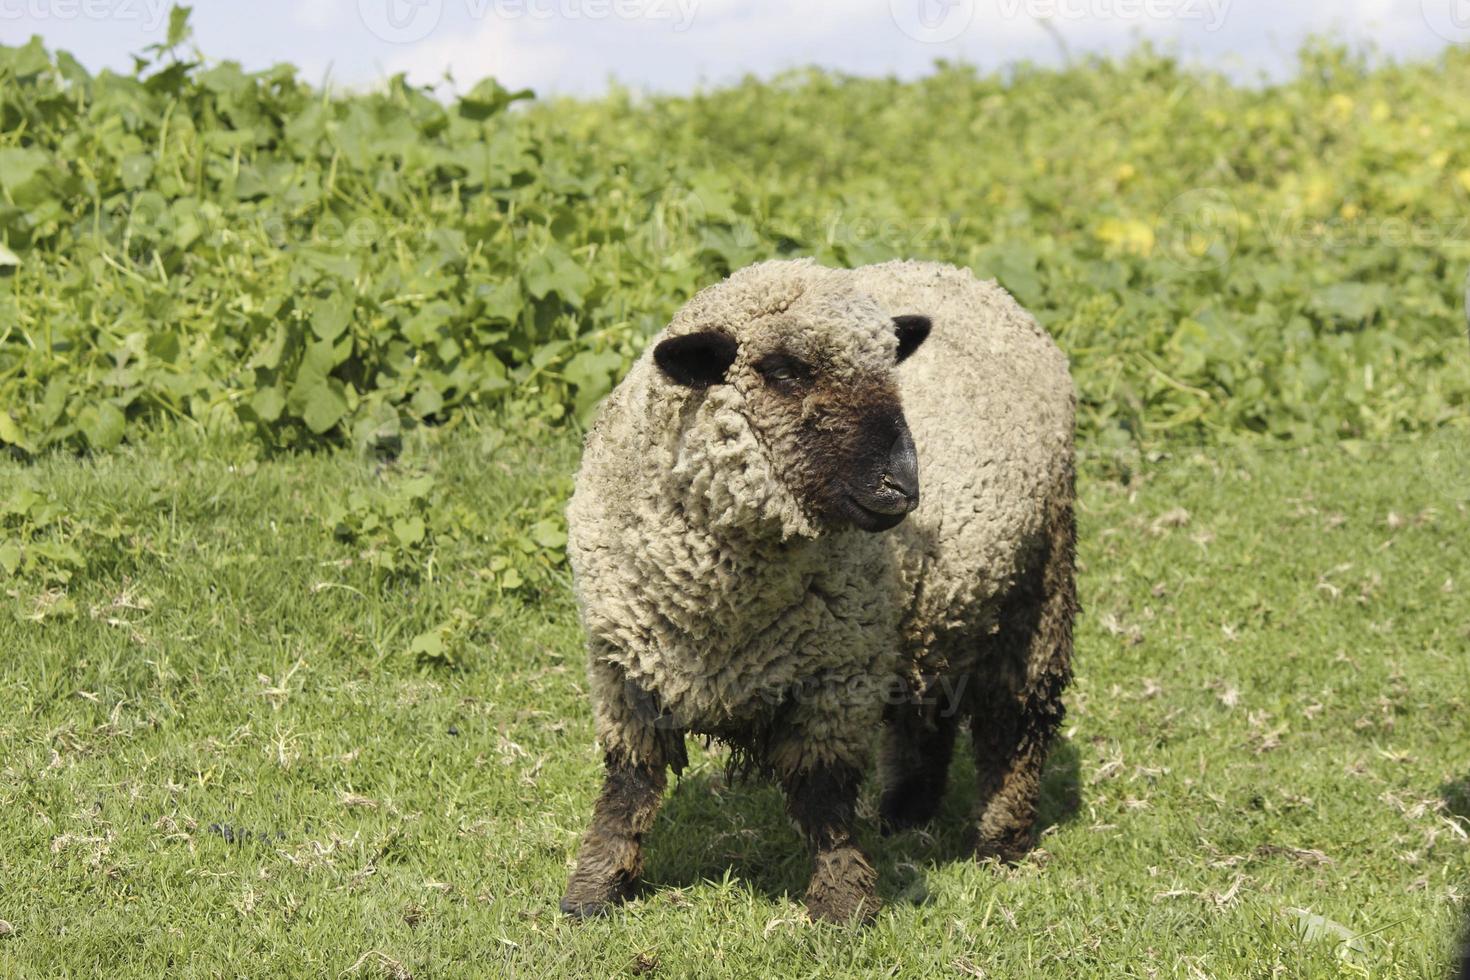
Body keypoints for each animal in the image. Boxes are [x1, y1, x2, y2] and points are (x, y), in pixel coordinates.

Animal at [561, 257, 1081, 922]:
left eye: (889, 366)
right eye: (782, 370)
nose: (902, 483)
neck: (721, 607)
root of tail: (961, 273)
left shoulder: (835, 676)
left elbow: (823, 797)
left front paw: (843, 904)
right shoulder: (624, 669)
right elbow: (628, 784)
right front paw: (593, 891)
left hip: (1037, 586)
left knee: (1017, 721)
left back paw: (1000, 842)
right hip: (923, 611)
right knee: (925, 709)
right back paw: (906, 813)